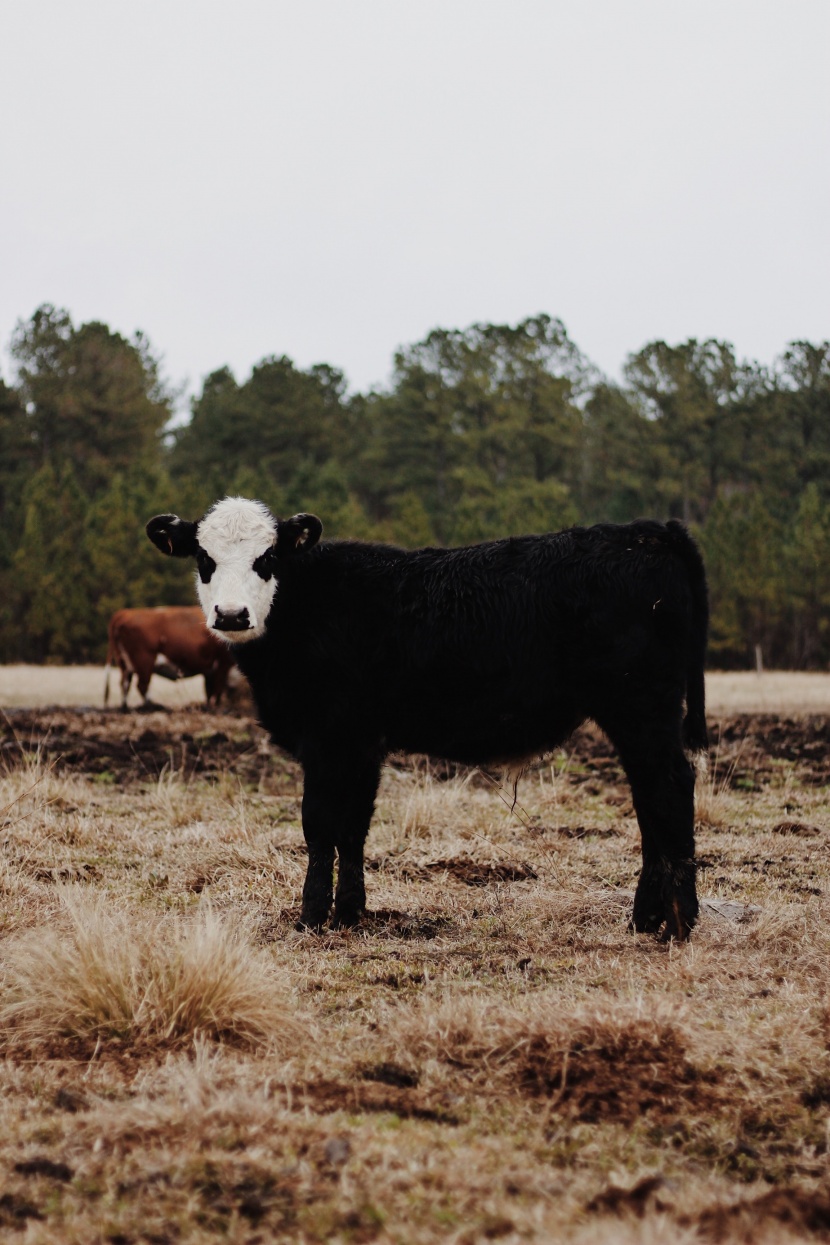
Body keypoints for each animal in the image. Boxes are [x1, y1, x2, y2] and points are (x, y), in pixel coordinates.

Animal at [104, 610, 233, 717]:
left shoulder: (210, 669)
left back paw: (125, 709)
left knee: (125, 684)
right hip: (144, 661)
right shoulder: (223, 663)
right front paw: (216, 708)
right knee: (141, 685)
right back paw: (153, 706)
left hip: (125, 664)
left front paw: (208, 707)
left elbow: (209, 690)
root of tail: (124, 613)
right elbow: (218, 687)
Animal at [147, 500, 706, 936]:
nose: (231, 615)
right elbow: (354, 829)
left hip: (641, 709)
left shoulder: (327, 741)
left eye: (266, 558)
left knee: (670, 789)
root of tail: (648, 530)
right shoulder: (362, 744)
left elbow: (319, 826)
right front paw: (350, 915)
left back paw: (678, 923)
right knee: (649, 800)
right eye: (204, 557)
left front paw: (310, 918)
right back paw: (646, 919)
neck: (307, 607)